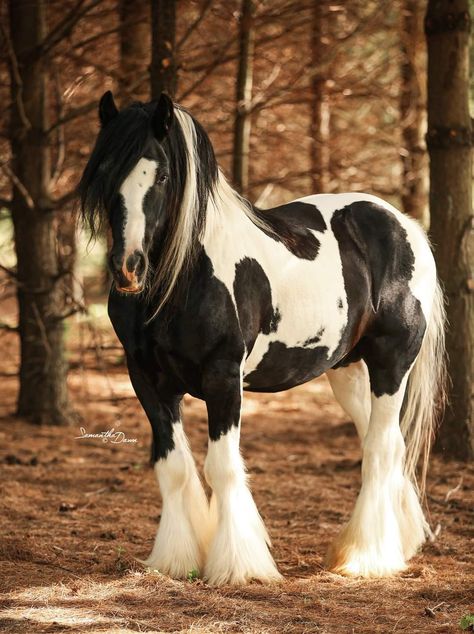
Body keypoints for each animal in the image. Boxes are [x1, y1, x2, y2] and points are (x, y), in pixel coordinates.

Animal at [79, 91, 446, 584]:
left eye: (163, 175)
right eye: (104, 171)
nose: (128, 268)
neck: (183, 278)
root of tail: (403, 225)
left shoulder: (222, 377)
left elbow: (222, 466)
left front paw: (240, 565)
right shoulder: (148, 380)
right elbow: (173, 467)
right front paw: (176, 560)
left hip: (392, 362)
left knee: (381, 448)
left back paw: (365, 557)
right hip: (347, 371)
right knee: (389, 444)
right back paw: (398, 541)